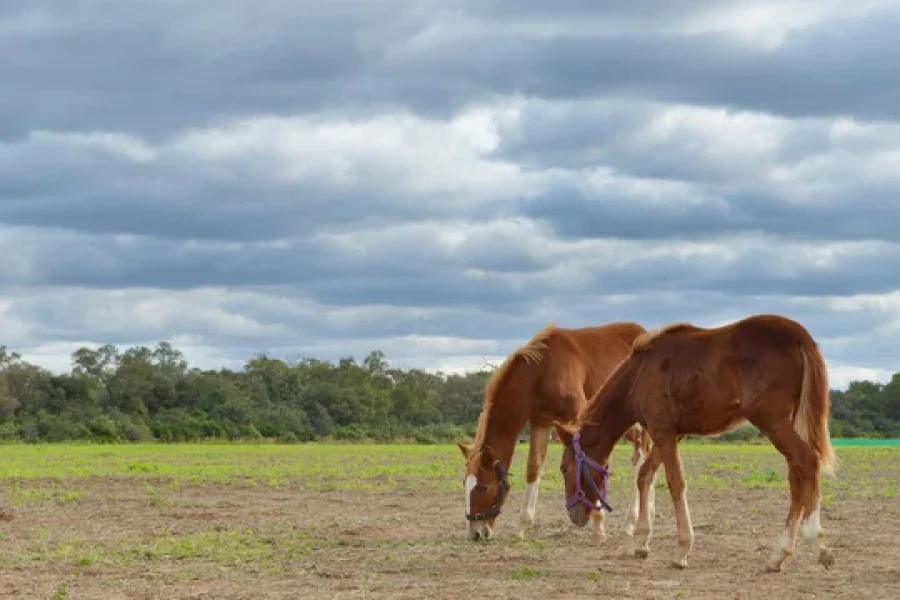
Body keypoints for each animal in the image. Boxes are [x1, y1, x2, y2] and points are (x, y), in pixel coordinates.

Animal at [458, 324, 652, 544]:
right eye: (464, 483)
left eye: (482, 487)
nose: (475, 533)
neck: (543, 370)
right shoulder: (540, 423)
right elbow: (534, 468)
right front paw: (523, 526)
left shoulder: (581, 419)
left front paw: (598, 525)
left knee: (640, 457)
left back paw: (631, 522)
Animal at [556, 314, 836, 572]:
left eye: (563, 468)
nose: (575, 515)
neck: (640, 373)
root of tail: (799, 335)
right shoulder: (670, 434)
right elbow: (645, 475)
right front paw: (641, 541)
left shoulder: (663, 431)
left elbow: (675, 483)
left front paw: (681, 549)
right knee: (797, 476)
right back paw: (779, 555)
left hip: (772, 421)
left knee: (808, 460)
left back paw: (818, 541)